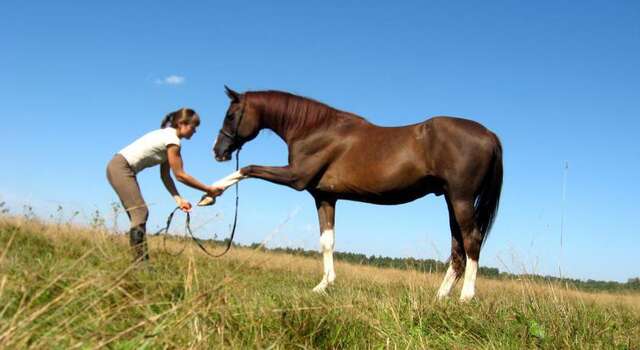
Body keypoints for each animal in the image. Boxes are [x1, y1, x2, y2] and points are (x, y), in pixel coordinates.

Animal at [202, 85, 502, 300]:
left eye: (230, 115)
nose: (218, 151)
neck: (314, 129)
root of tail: (489, 134)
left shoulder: (294, 177)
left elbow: (248, 169)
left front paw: (208, 195)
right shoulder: (324, 197)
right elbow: (327, 241)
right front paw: (323, 286)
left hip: (461, 199)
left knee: (472, 240)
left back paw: (466, 297)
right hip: (451, 201)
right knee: (458, 248)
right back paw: (440, 296)